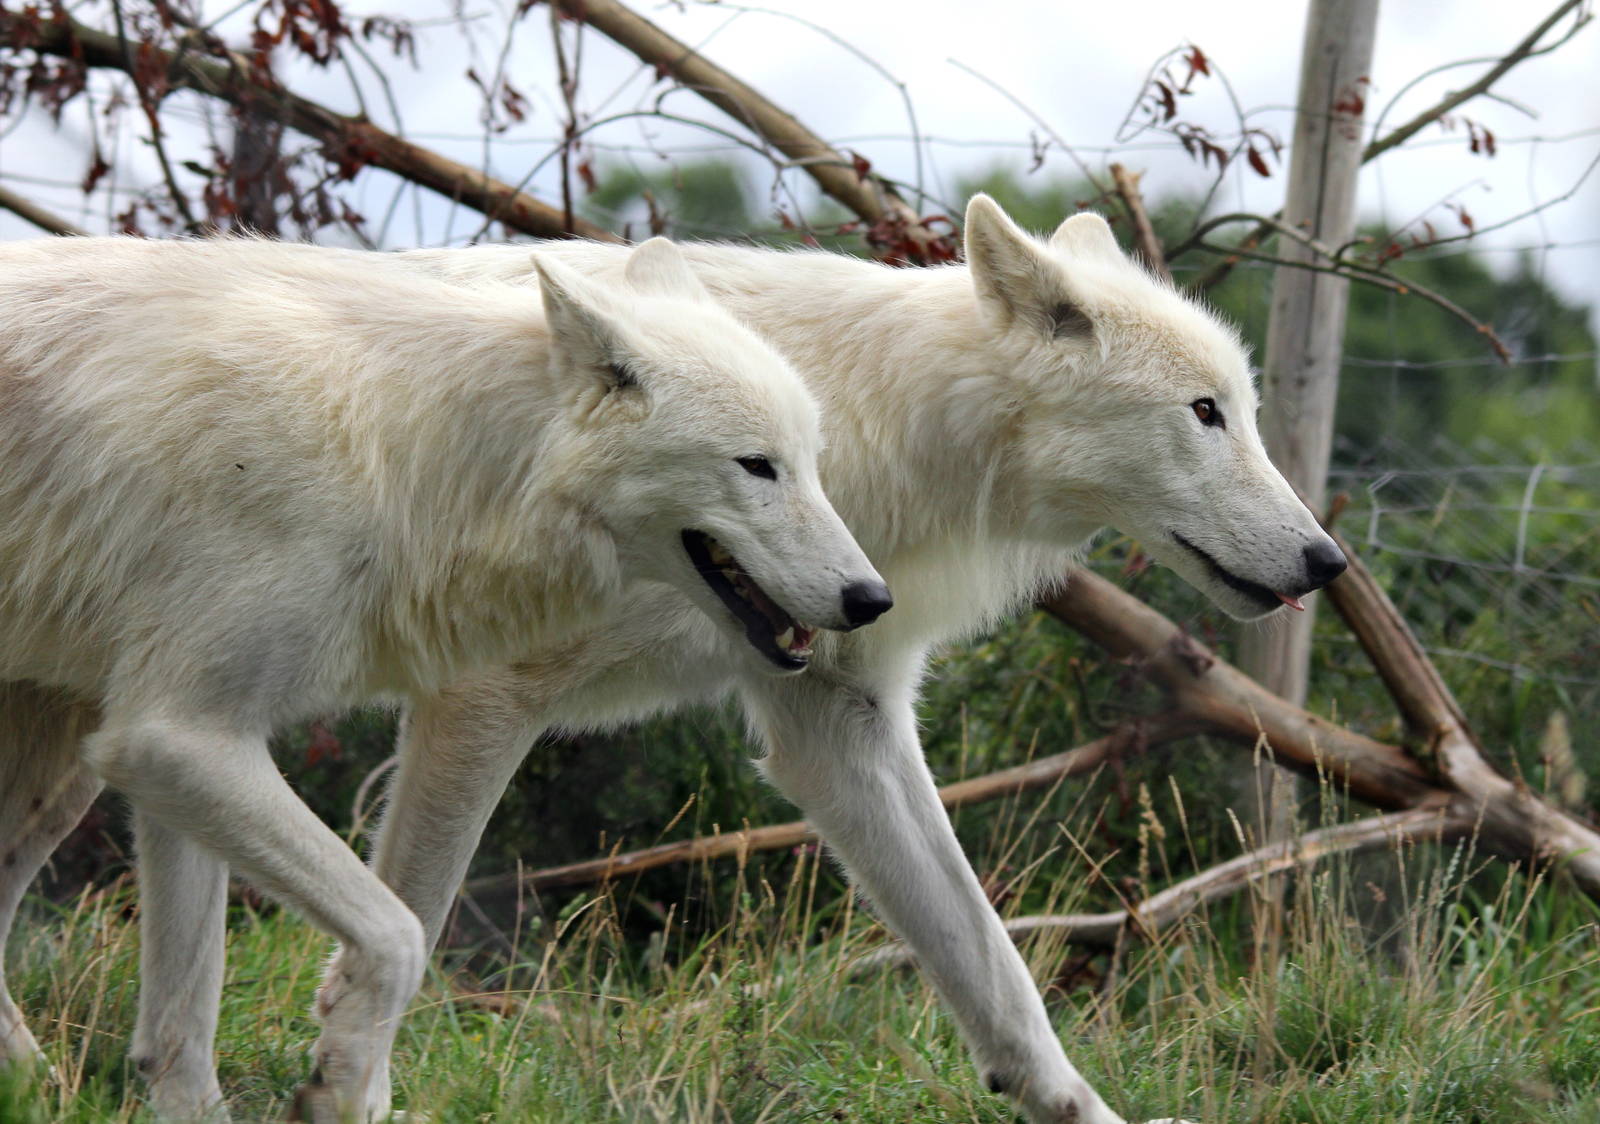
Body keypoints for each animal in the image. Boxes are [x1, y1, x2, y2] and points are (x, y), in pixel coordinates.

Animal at [0, 235, 887, 1121]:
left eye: (811, 465)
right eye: (757, 467)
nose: (871, 598)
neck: (409, 451)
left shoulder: (185, 738)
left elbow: (183, 1020)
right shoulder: (176, 738)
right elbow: (399, 934)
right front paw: (339, 1081)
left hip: (67, 764)